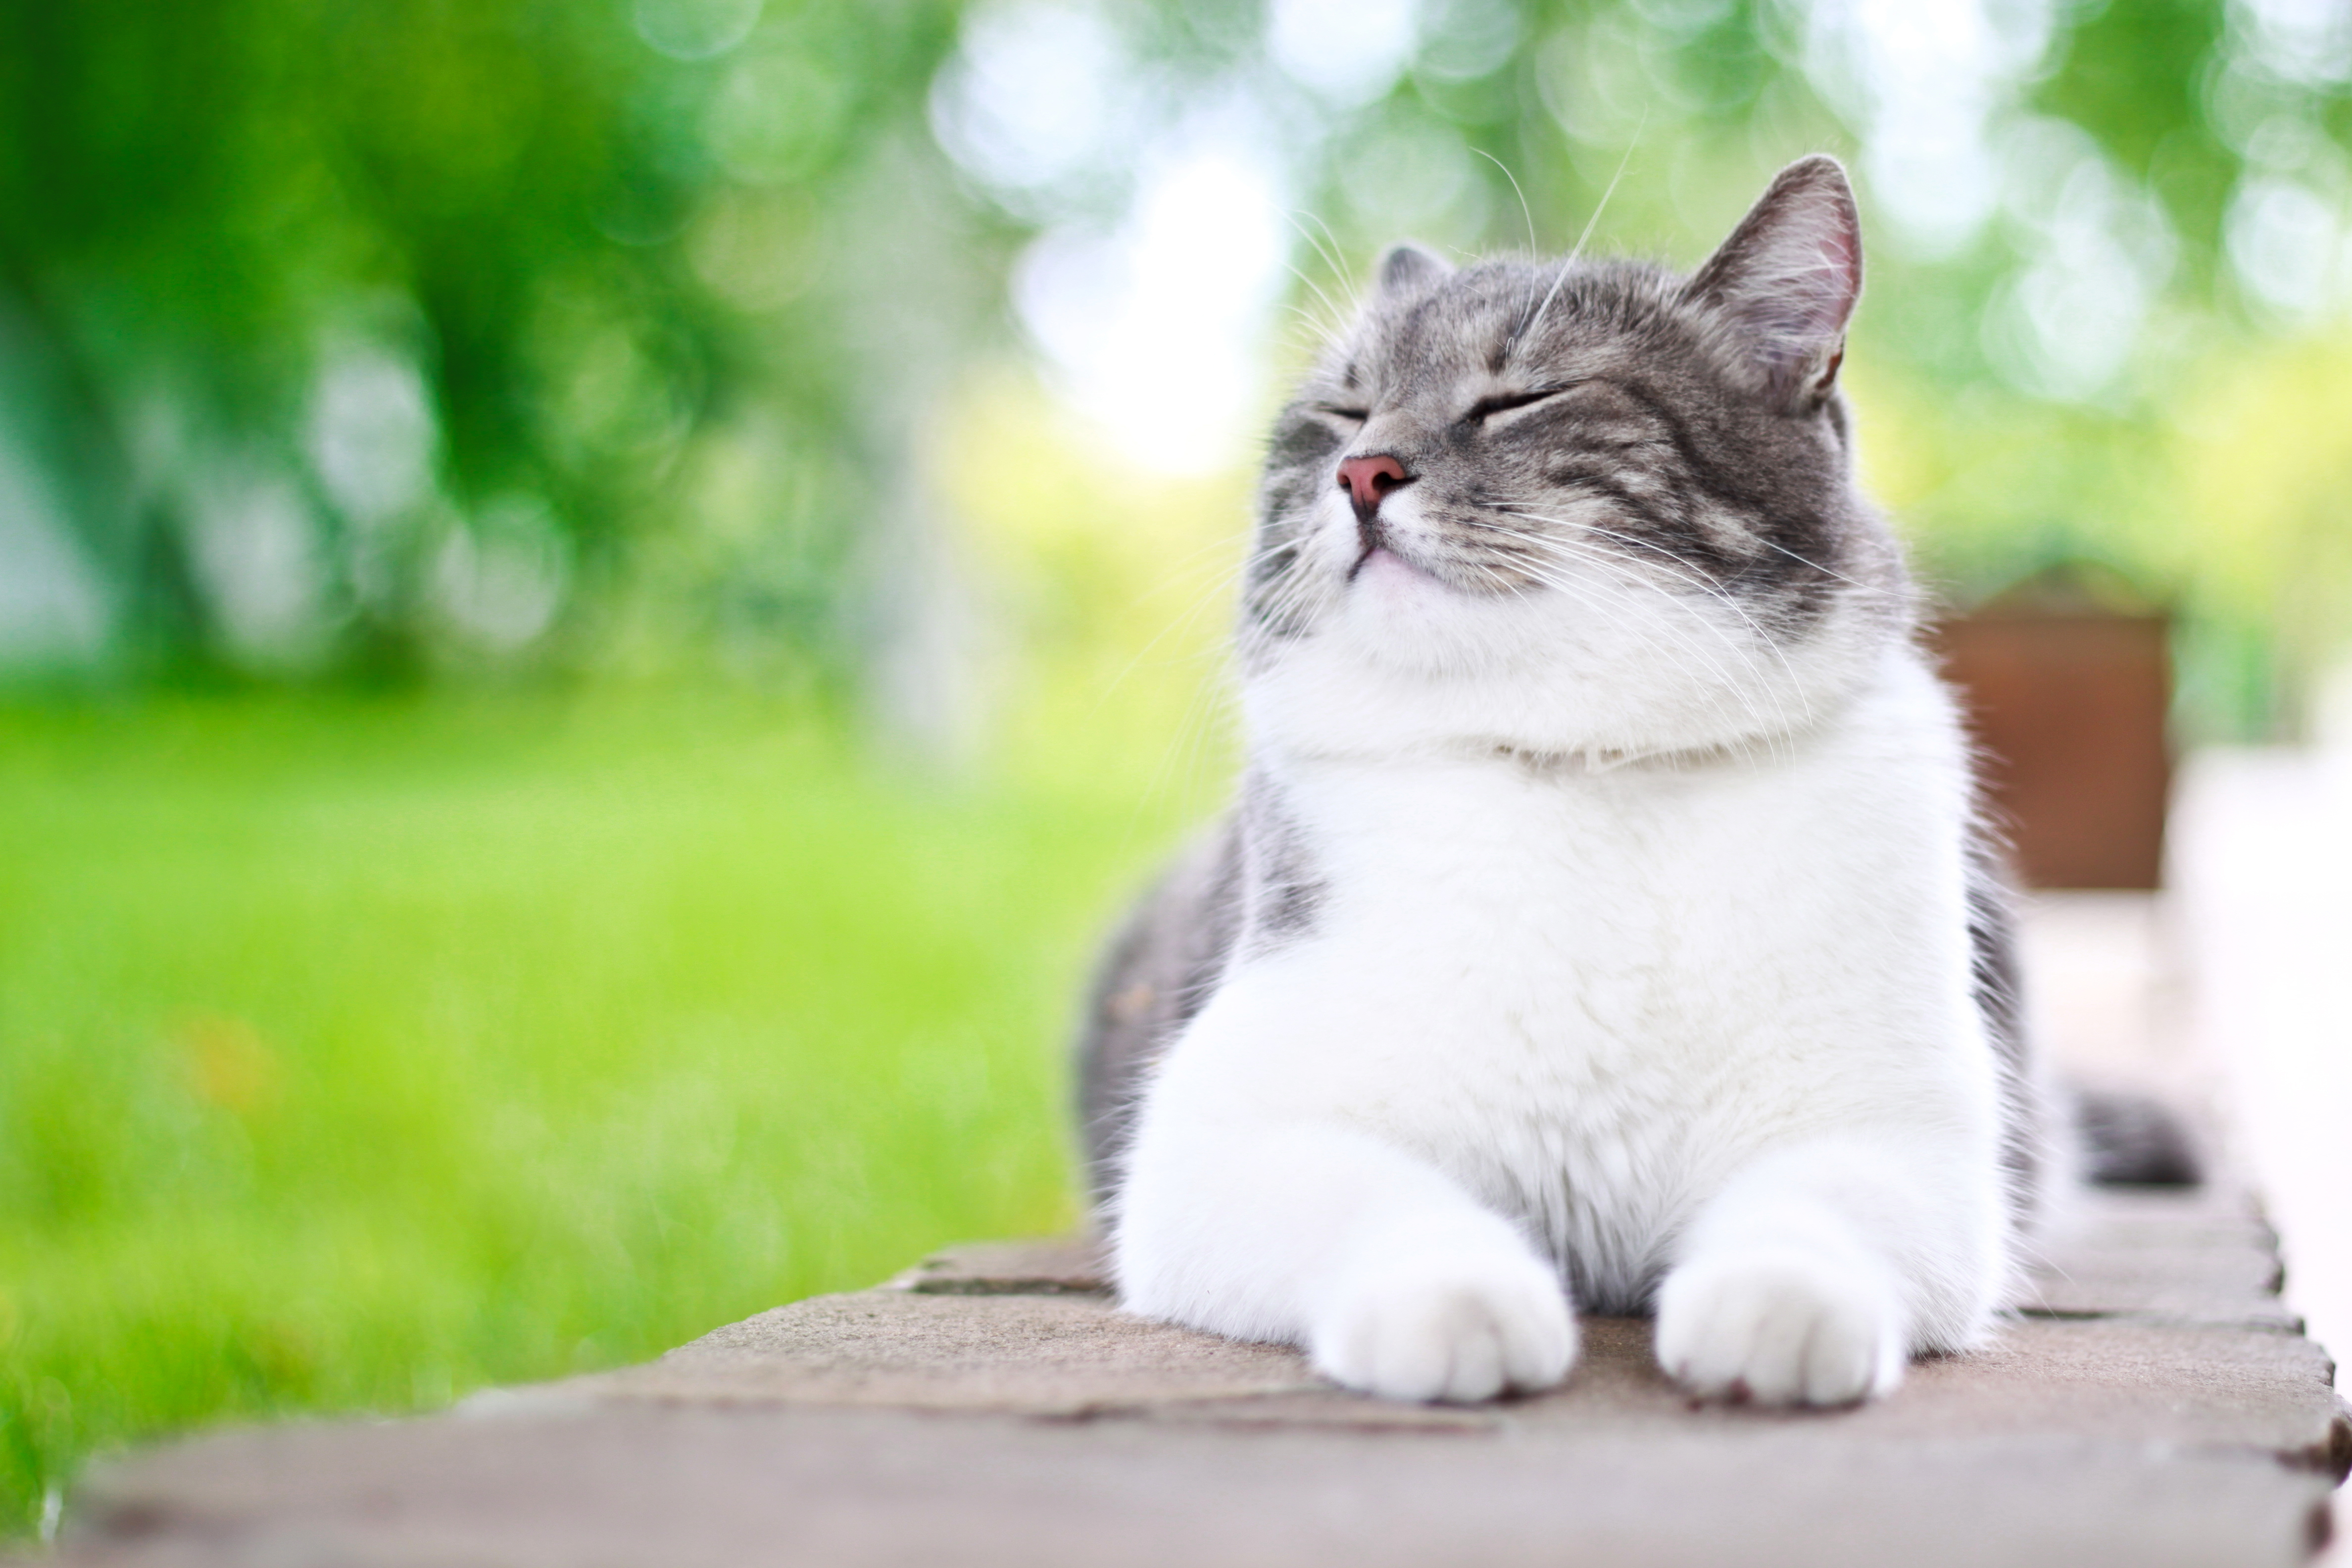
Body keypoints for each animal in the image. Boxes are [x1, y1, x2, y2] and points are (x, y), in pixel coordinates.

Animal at [1068, 159, 2041, 1410]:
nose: (1359, 471)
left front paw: (1779, 1307)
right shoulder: (1216, 1140)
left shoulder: (1901, 1142)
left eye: (1520, 397)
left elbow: (1815, 1212)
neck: (1581, 766)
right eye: (1341, 411)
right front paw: (1457, 1302)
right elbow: (1385, 1201)